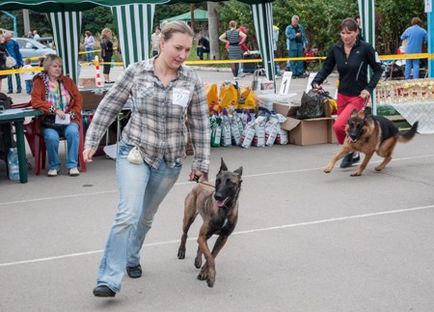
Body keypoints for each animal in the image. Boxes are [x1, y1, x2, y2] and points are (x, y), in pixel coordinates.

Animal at [178, 158, 242, 288]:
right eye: (218, 180)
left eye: (230, 183)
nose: (217, 196)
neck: (225, 210)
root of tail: (201, 182)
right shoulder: (203, 235)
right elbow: (209, 256)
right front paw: (211, 276)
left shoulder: (223, 238)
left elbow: (211, 255)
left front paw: (204, 272)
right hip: (189, 218)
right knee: (184, 234)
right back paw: (182, 251)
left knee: (200, 244)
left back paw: (198, 260)